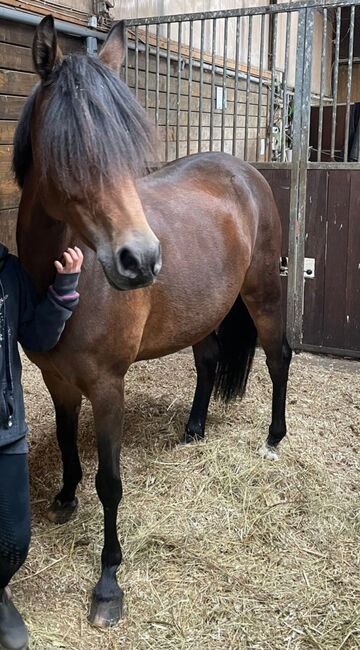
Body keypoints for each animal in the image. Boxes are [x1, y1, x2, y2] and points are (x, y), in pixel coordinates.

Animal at [14, 13, 292, 624]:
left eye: (128, 150)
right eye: (65, 148)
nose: (140, 260)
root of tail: (245, 172)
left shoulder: (106, 387)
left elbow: (110, 482)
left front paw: (108, 585)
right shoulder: (57, 380)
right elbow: (67, 442)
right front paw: (64, 497)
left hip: (263, 294)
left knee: (280, 357)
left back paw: (273, 440)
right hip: (204, 314)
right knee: (208, 361)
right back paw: (193, 431)